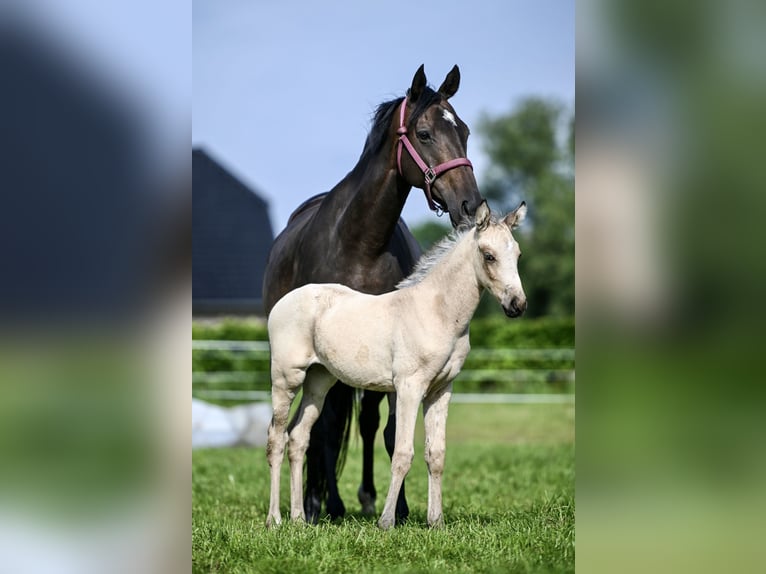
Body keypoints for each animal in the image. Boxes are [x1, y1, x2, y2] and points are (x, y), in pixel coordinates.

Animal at [260, 65, 484, 524]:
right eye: (423, 134)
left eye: (465, 131)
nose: (470, 205)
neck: (360, 243)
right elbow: (328, 430)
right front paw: (322, 504)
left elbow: (391, 432)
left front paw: (399, 509)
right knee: (323, 428)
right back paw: (321, 503)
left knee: (363, 423)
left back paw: (361, 497)